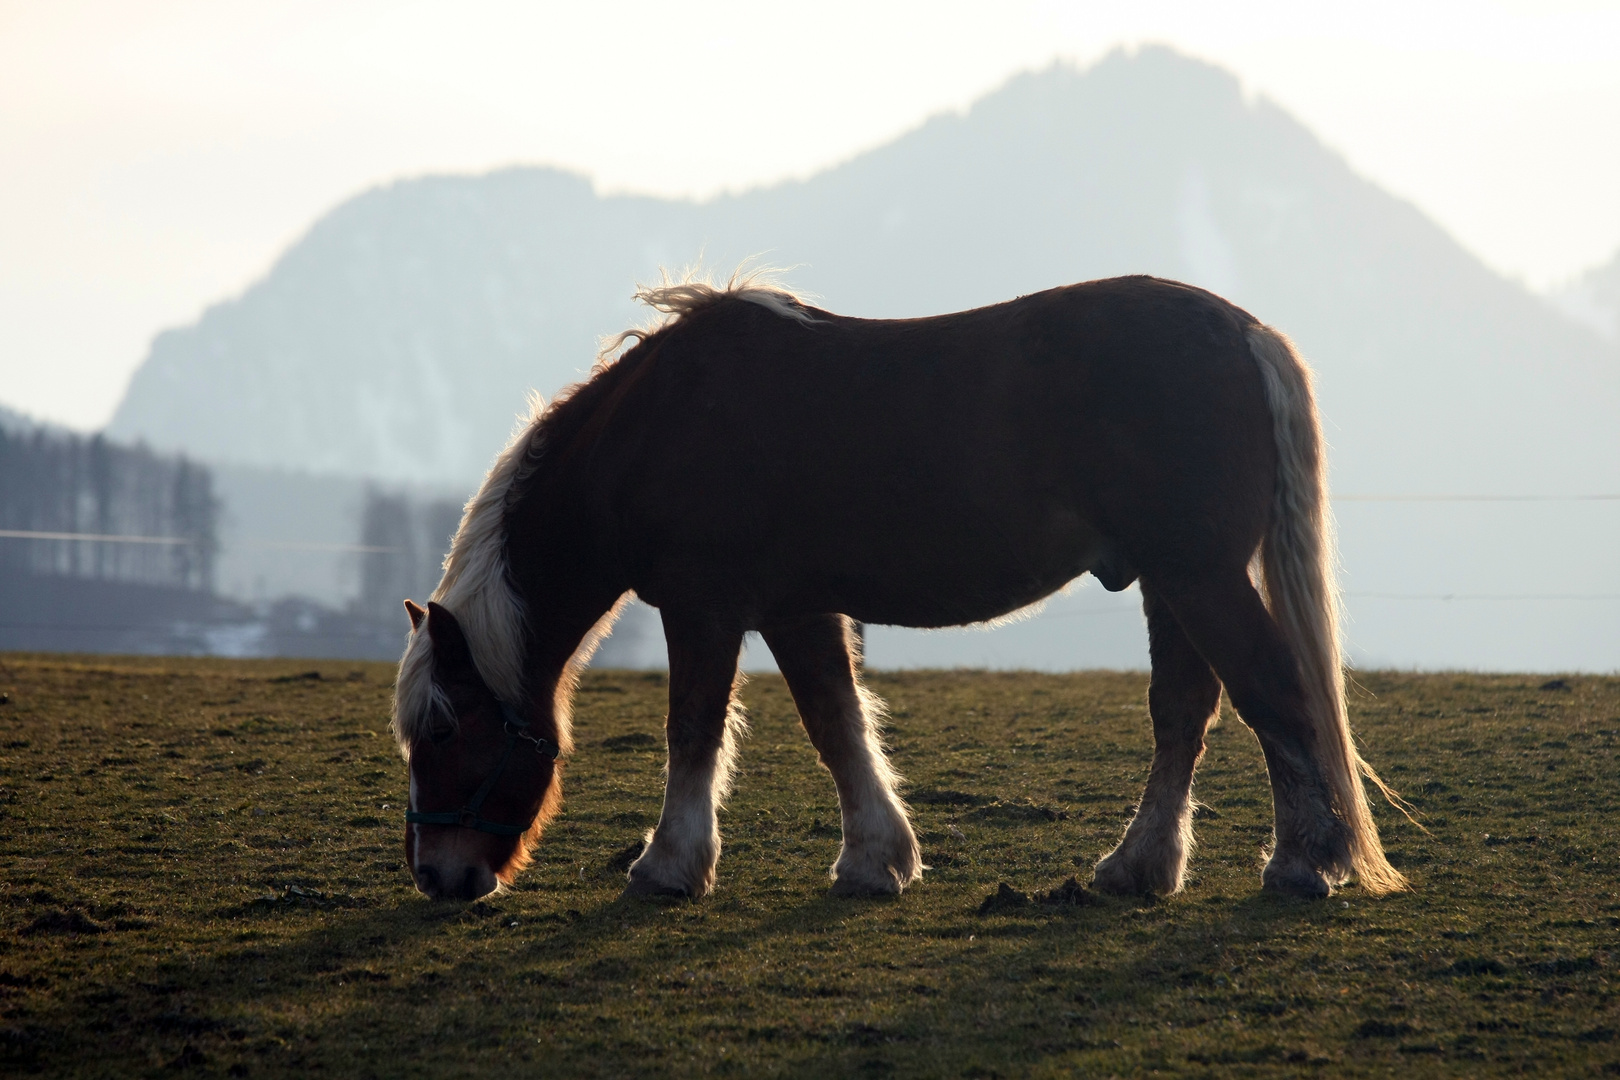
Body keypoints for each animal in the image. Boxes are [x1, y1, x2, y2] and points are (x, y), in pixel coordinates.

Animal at [392, 270, 1406, 906]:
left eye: (443, 732)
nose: (438, 876)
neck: (653, 430)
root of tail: (1243, 333)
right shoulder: (795, 609)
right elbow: (836, 723)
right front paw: (877, 860)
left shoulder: (704, 609)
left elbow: (695, 731)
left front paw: (668, 868)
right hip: (1174, 582)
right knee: (1186, 712)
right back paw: (1140, 868)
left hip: (1198, 576)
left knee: (1273, 697)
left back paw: (1303, 866)